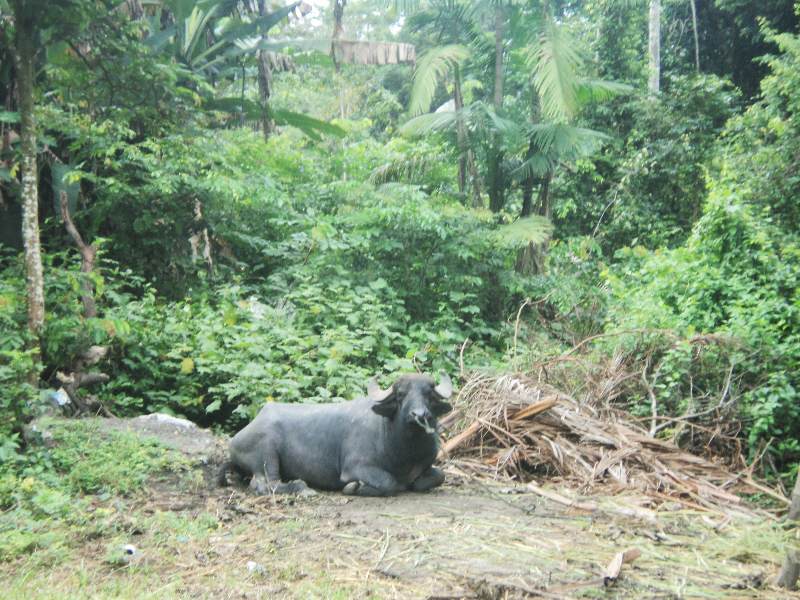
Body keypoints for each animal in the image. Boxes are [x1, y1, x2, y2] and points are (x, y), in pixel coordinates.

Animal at [216, 376, 454, 496]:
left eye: (428, 394)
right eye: (401, 395)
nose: (419, 414)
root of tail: (237, 437)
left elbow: (440, 475)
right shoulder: (355, 467)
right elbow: (389, 482)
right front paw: (354, 488)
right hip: (265, 454)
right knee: (265, 485)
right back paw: (302, 488)